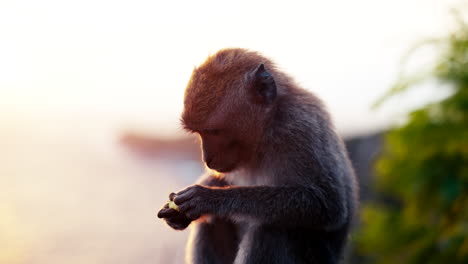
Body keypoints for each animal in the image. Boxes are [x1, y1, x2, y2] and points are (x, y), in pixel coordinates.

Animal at [157, 48, 358, 262]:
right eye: (199, 132)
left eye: (214, 132)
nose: (206, 159)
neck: (267, 129)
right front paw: (180, 211)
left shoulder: (300, 127)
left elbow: (327, 204)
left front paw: (210, 198)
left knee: (272, 227)